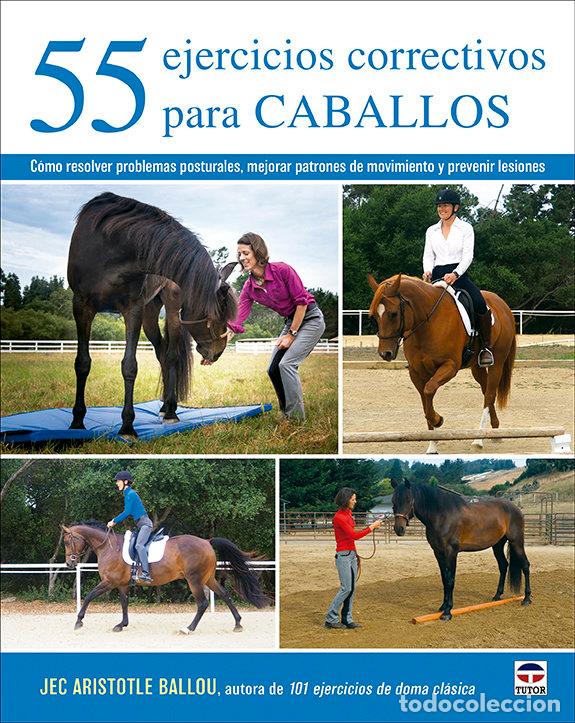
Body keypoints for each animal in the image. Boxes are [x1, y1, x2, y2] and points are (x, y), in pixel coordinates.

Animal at [62, 521, 269, 634]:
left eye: (67, 541)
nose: (70, 564)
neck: (108, 546)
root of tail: (206, 541)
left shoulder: (109, 582)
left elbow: (89, 596)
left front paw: (78, 621)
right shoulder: (121, 584)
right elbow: (124, 603)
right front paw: (122, 624)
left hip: (194, 580)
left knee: (202, 603)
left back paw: (188, 628)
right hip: (208, 578)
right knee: (225, 595)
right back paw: (238, 624)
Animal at [67, 192, 238, 437]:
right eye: (219, 314)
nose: (219, 351)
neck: (112, 246)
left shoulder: (132, 309)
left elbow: (129, 366)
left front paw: (127, 426)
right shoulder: (81, 306)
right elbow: (82, 363)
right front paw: (77, 422)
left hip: (172, 313)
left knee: (172, 355)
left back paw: (171, 411)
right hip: (149, 316)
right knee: (162, 354)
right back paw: (166, 406)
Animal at [367, 274, 516, 453]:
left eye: (393, 314)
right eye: (375, 315)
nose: (385, 353)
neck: (427, 323)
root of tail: (503, 304)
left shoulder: (450, 366)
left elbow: (429, 389)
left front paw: (438, 419)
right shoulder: (416, 372)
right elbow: (425, 401)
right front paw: (432, 445)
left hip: (497, 363)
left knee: (489, 395)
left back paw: (479, 439)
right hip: (476, 368)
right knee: (486, 390)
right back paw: (495, 431)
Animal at [391, 480, 531, 621]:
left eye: (408, 500)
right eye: (393, 501)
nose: (399, 529)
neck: (441, 516)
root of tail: (516, 508)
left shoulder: (451, 552)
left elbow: (450, 580)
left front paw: (447, 611)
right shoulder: (438, 553)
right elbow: (444, 579)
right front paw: (442, 607)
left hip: (516, 542)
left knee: (525, 565)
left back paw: (526, 599)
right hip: (497, 545)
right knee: (503, 565)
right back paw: (497, 596)